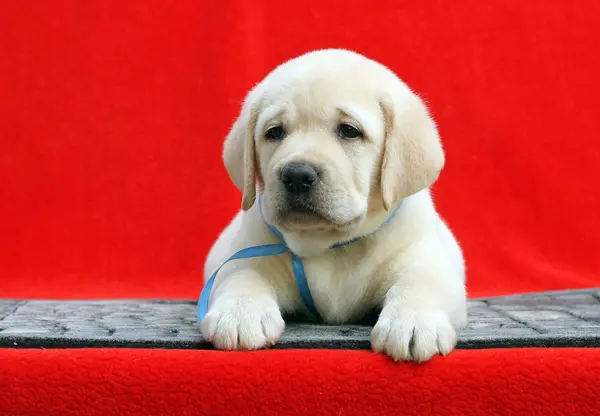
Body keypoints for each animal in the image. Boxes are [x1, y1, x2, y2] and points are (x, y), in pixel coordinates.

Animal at [199, 48, 466, 360]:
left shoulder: (424, 257)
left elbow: (422, 282)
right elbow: (241, 275)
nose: (297, 175)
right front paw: (239, 315)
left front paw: (413, 323)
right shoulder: (247, 254)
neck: (330, 246)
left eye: (349, 130)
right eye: (274, 132)